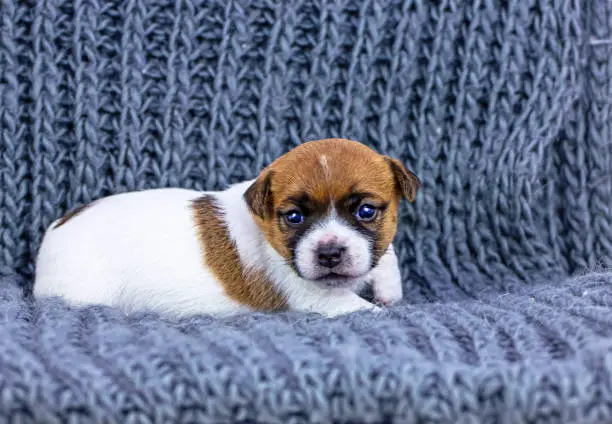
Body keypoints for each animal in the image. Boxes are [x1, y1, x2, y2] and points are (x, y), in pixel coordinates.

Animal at [33, 139, 420, 318]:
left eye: (366, 211)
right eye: (294, 217)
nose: (329, 254)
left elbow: (387, 255)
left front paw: (389, 290)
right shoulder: (316, 298)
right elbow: (365, 311)